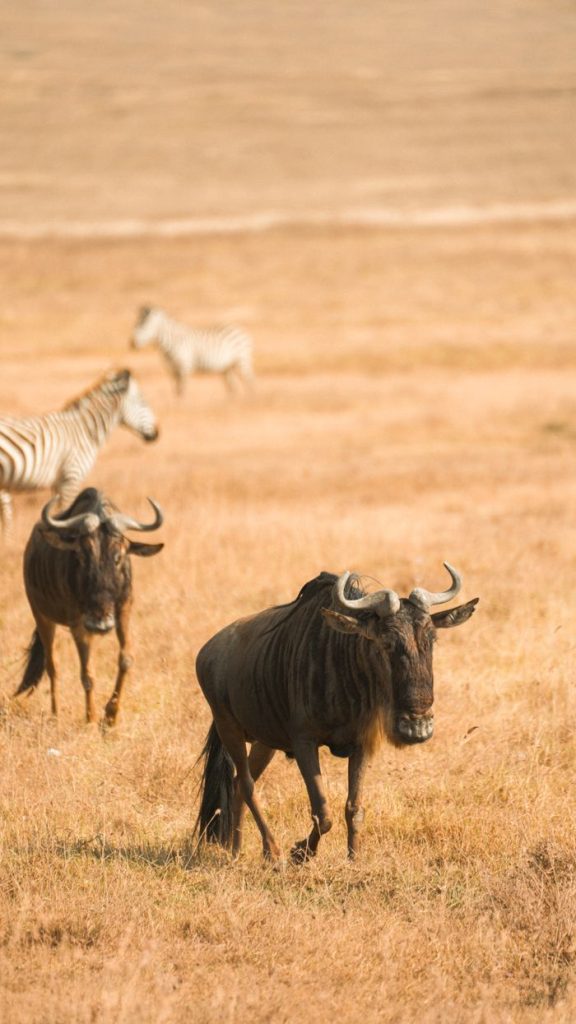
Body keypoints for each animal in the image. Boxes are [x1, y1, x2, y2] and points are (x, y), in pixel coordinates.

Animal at [0, 368, 158, 535]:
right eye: (143, 402)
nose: (156, 433)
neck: (84, 430)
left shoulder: (59, 484)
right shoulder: (71, 478)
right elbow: (66, 517)